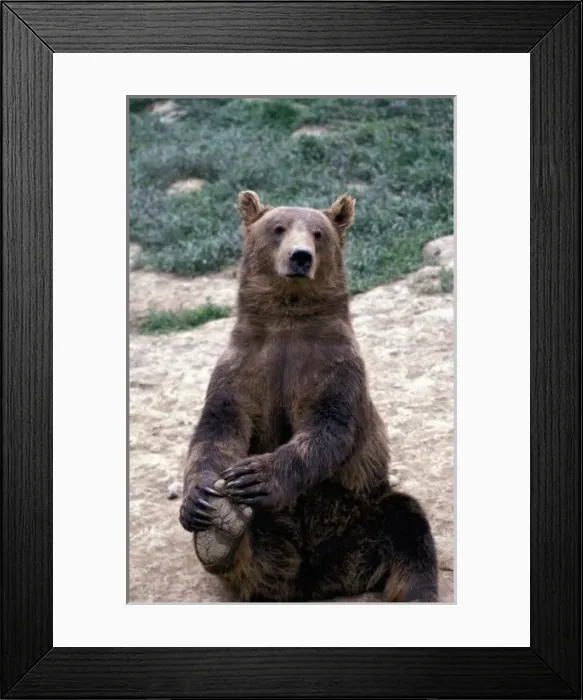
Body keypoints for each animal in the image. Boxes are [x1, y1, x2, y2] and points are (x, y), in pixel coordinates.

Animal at [179, 190, 439, 602]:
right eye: (278, 228)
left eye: (318, 233)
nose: (300, 256)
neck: (287, 321)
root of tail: (315, 581)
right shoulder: (241, 369)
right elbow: (218, 428)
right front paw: (201, 501)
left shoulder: (334, 368)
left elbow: (327, 427)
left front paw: (256, 476)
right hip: (273, 543)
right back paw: (221, 532)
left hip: (358, 518)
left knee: (406, 528)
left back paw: (416, 592)